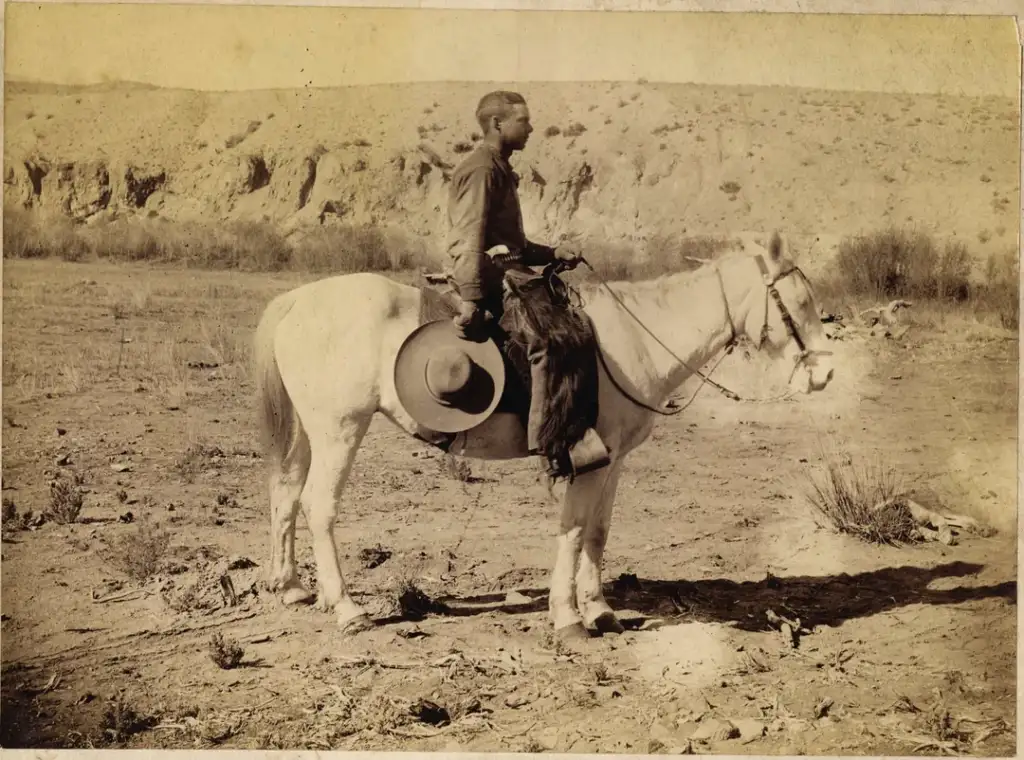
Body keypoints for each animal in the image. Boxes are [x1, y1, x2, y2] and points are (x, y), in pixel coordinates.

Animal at [251, 230, 835, 643]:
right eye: (800, 302)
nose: (825, 374)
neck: (633, 340)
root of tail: (298, 301)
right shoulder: (586, 458)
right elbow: (573, 531)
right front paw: (569, 617)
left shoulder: (614, 460)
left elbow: (598, 531)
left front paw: (600, 609)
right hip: (340, 430)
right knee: (317, 504)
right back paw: (347, 608)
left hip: (310, 432)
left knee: (285, 494)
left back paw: (292, 588)